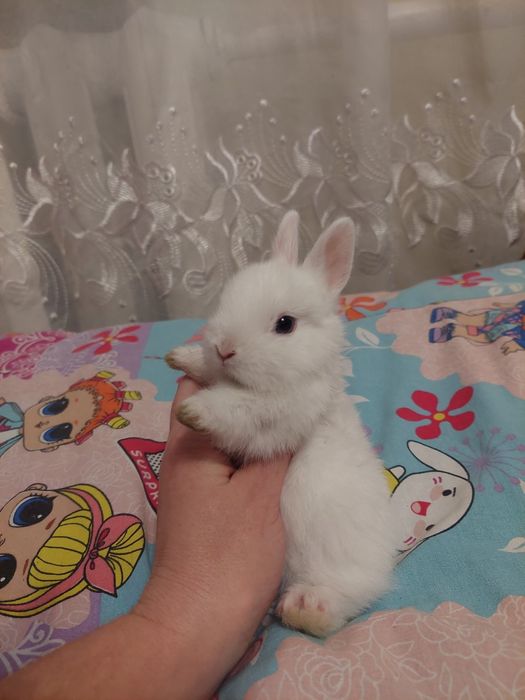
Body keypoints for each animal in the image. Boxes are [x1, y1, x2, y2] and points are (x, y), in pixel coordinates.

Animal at [165, 210, 398, 637]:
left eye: (285, 324)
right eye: (227, 299)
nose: (225, 348)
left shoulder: (275, 419)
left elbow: (235, 411)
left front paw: (194, 411)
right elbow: (209, 374)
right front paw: (183, 357)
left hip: (335, 565)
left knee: (339, 604)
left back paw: (305, 609)